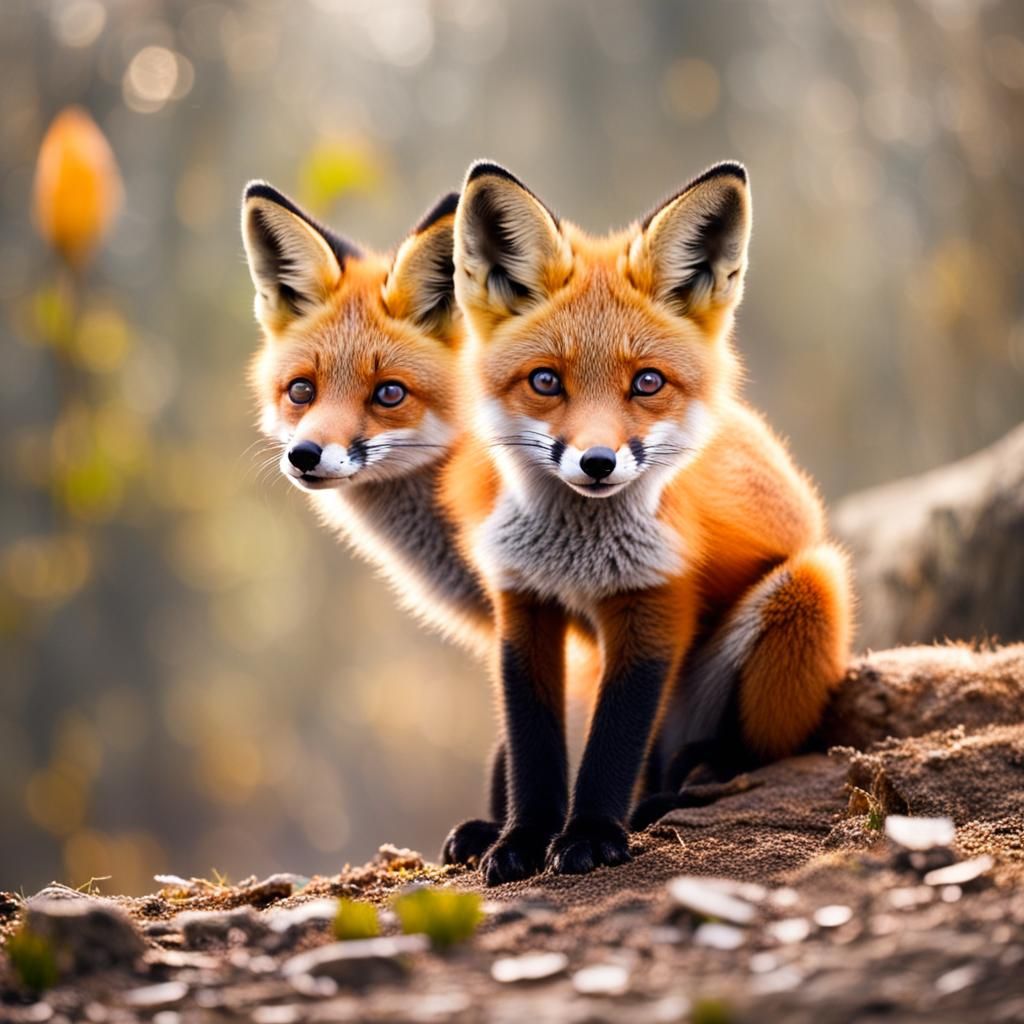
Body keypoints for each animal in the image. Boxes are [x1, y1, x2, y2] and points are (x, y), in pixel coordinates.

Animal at [441, 160, 853, 884]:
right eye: (546, 381)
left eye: (648, 382)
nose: (598, 462)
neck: (576, 555)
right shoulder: (523, 606)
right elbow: (533, 746)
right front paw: (522, 838)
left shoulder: (655, 605)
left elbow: (614, 742)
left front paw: (591, 835)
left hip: (808, 588)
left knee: (751, 752)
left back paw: (692, 784)